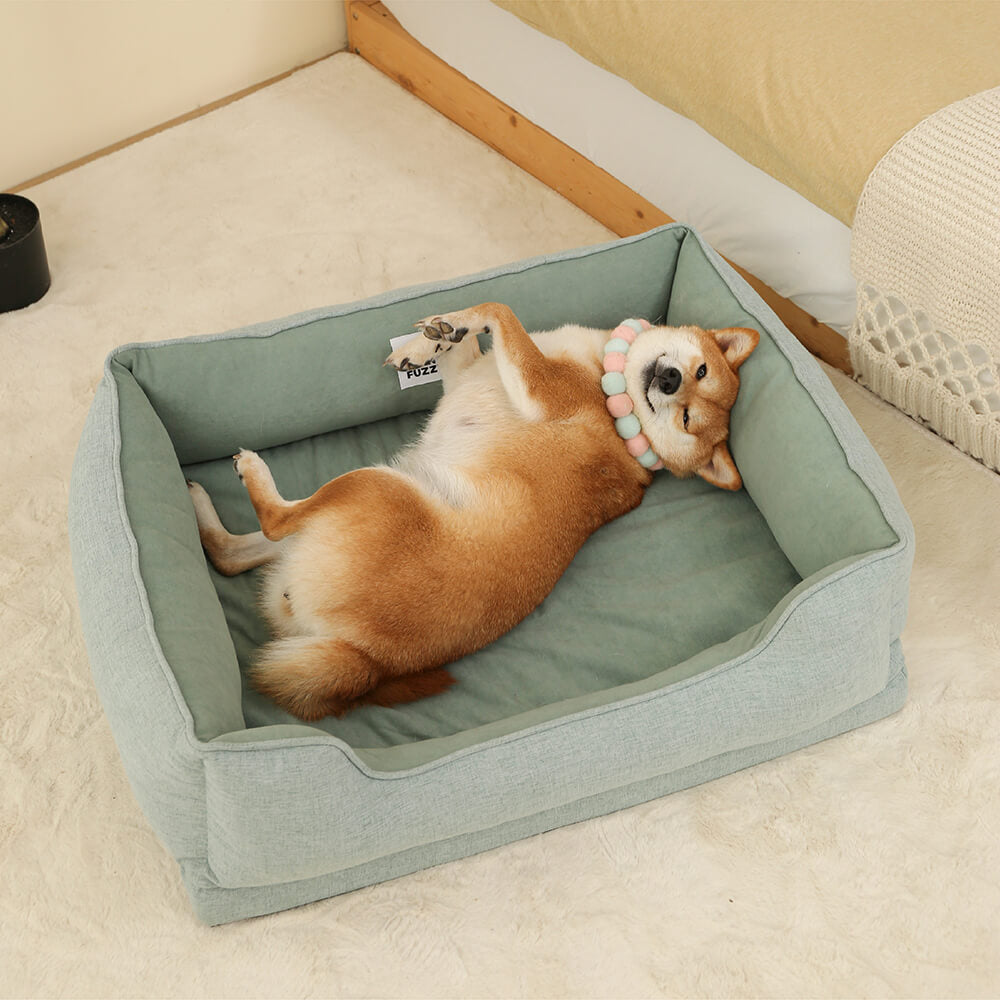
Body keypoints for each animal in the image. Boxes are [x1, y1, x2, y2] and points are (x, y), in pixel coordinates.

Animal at [188, 302, 752, 720]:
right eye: (700, 371)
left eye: (686, 417)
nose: (672, 380)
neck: (620, 408)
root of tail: (369, 661)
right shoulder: (471, 376)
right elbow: (470, 345)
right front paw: (433, 339)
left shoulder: (541, 388)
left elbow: (500, 311)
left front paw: (454, 324)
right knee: (229, 555)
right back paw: (199, 506)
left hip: (374, 487)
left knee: (275, 521)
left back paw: (253, 472)